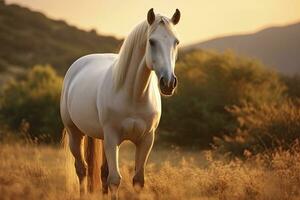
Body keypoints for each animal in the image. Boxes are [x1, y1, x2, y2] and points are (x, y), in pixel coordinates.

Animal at [59, 7, 179, 198]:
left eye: (176, 42)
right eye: (152, 41)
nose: (168, 83)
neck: (134, 96)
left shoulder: (146, 139)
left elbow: (138, 180)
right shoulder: (112, 137)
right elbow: (115, 180)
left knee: (102, 172)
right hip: (75, 134)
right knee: (82, 169)